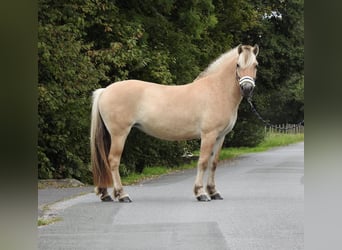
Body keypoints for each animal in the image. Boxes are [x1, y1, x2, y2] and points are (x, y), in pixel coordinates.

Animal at [89, 44, 258, 202]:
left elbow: (213, 163)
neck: (217, 90)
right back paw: (122, 195)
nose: (247, 88)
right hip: (119, 134)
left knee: (104, 161)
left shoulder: (220, 136)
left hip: (109, 134)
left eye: (256, 65)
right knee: (113, 161)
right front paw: (201, 193)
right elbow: (203, 162)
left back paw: (106, 194)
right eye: (238, 65)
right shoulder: (208, 135)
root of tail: (105, 91)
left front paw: (213, 192)